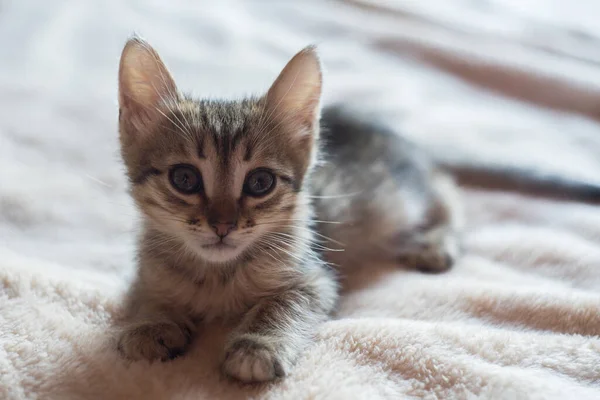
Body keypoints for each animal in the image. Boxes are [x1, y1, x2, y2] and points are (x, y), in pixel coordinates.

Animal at [115, 38, 460, 384]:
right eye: (184, 179)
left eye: (260, 182)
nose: (223, 225)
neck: (217, 275)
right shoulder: (146, 272)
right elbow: (144, 293)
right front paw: (152, 322)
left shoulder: (315, 279)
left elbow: (282, 304)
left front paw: (258, 345)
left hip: (413, 191)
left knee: (451, 198)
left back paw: (434, 244)